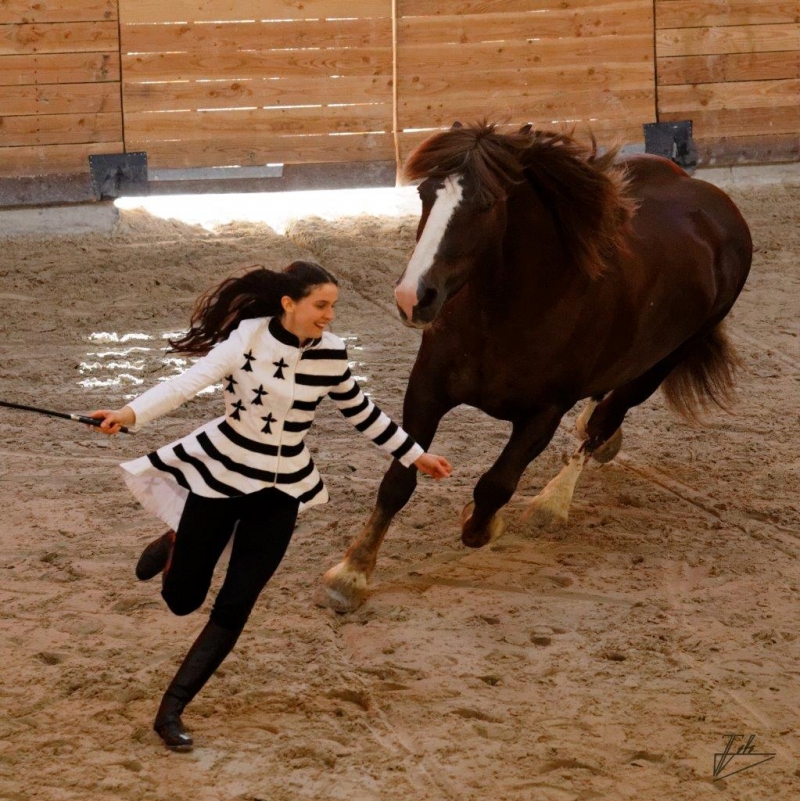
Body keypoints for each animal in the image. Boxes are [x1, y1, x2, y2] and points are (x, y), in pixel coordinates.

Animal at [316, 122, 752, 608]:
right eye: (425, 193)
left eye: (486, 204)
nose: (414, 297)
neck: (505, 316)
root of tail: (715, 202)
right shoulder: (426, 389)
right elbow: (397, 480)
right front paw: (351, 572)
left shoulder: (543, 414)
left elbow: (495, 486)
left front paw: (482, 524)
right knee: (600, 412)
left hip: (662, 363)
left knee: (605, 419)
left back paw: (553, 501)